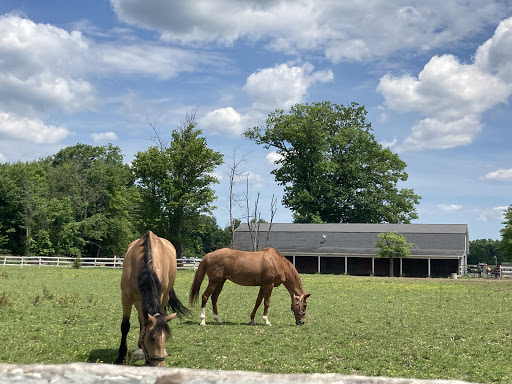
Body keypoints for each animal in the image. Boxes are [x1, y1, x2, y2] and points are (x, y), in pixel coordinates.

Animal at [114, 231, 190, 366]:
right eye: (151, 338)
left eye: (166, 338)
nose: (160, 366)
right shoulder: (126, 298)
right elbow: (125, 326)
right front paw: (120, 357)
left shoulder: (159, 296)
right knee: (141, 321)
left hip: (163, 296)